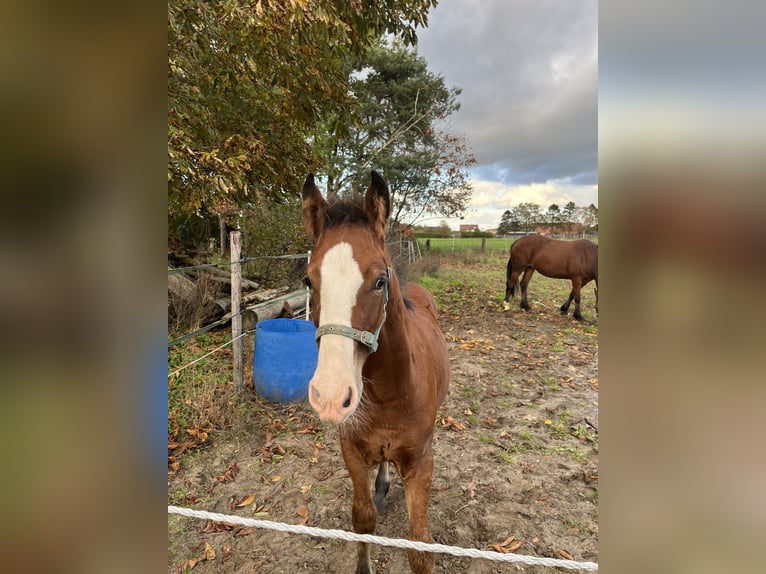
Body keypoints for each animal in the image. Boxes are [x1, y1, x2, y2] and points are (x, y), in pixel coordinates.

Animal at [301, 171, 450, 574]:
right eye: (309, 281)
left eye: (380, 281)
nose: (330, 397)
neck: (389, 393)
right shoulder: (352, 451)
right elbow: (363, 519)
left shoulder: (421, 463)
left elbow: (420, 547)